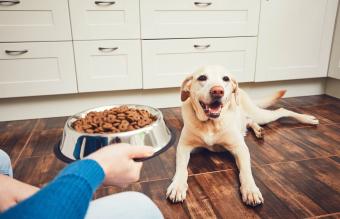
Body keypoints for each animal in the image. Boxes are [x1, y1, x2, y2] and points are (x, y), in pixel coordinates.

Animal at [166, 66, 320, 206]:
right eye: (202, 78)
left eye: (225, 79)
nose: (218, 91)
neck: (211, 124)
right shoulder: (183, 147)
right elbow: (182, 168)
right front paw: (177, 186)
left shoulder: (240, 148)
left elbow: (245, 171)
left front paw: (250, 190)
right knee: (249, 121)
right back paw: (258, 130)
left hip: (260, 115)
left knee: (281, 110)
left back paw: (308, 119)